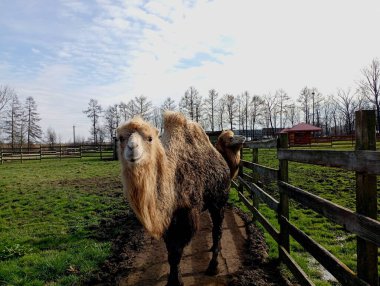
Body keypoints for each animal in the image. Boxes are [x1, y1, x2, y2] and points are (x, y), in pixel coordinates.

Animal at [116, 112, 229, 286]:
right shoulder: (167, 219)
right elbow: (170, 252)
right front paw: (172, 280)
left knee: (217, 230)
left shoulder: (186, 215)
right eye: (121, 138)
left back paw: (213, 267)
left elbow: (176, 252)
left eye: (150, 138)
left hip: (219, 200)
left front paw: (176, 281)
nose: (132, 148)